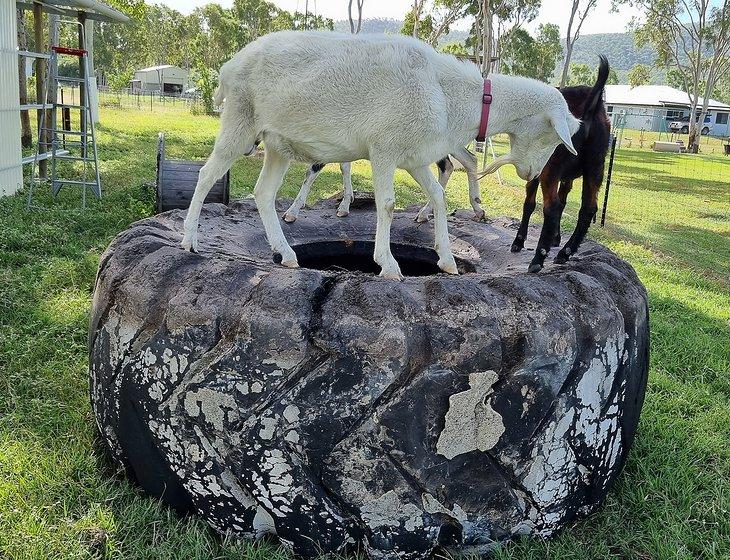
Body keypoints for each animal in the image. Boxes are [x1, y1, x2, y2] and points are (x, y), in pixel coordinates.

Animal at [179, 30, 576, 280]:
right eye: (552, 135)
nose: (531, 174)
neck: (450, 94)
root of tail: (227, 67)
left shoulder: (414, 157)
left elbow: (438, 196)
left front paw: (447, 259)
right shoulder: (384, 148)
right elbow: (386, 204)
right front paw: (388, 265)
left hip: (277, 143)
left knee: (263, 194)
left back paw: (287, 254)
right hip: (240, 122)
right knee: (206, 175)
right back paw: (190, 240)